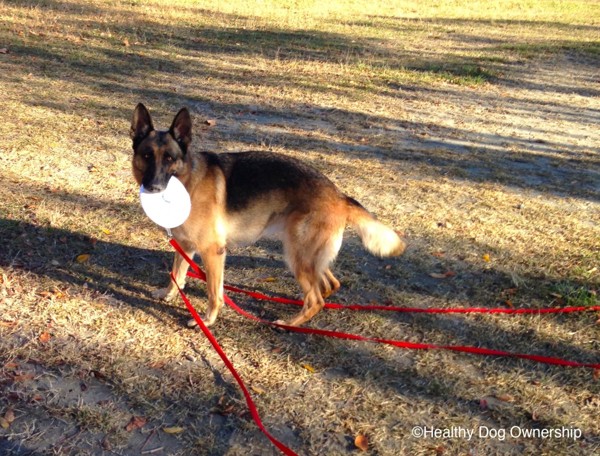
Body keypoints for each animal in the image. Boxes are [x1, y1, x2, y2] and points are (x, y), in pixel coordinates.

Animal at [129, 104, 406, 324]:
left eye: (169, 158)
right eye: (147, 155)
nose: (153, 187)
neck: (188, 180)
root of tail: (338, 194)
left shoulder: (213, 252)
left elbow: (213, 292)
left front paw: (207, 321)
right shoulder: (185, 246)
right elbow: (177, 275)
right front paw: (167, 295)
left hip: (296, 254)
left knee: (316, 298)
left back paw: (291, 323)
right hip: (307, 255)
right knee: (328, 285)